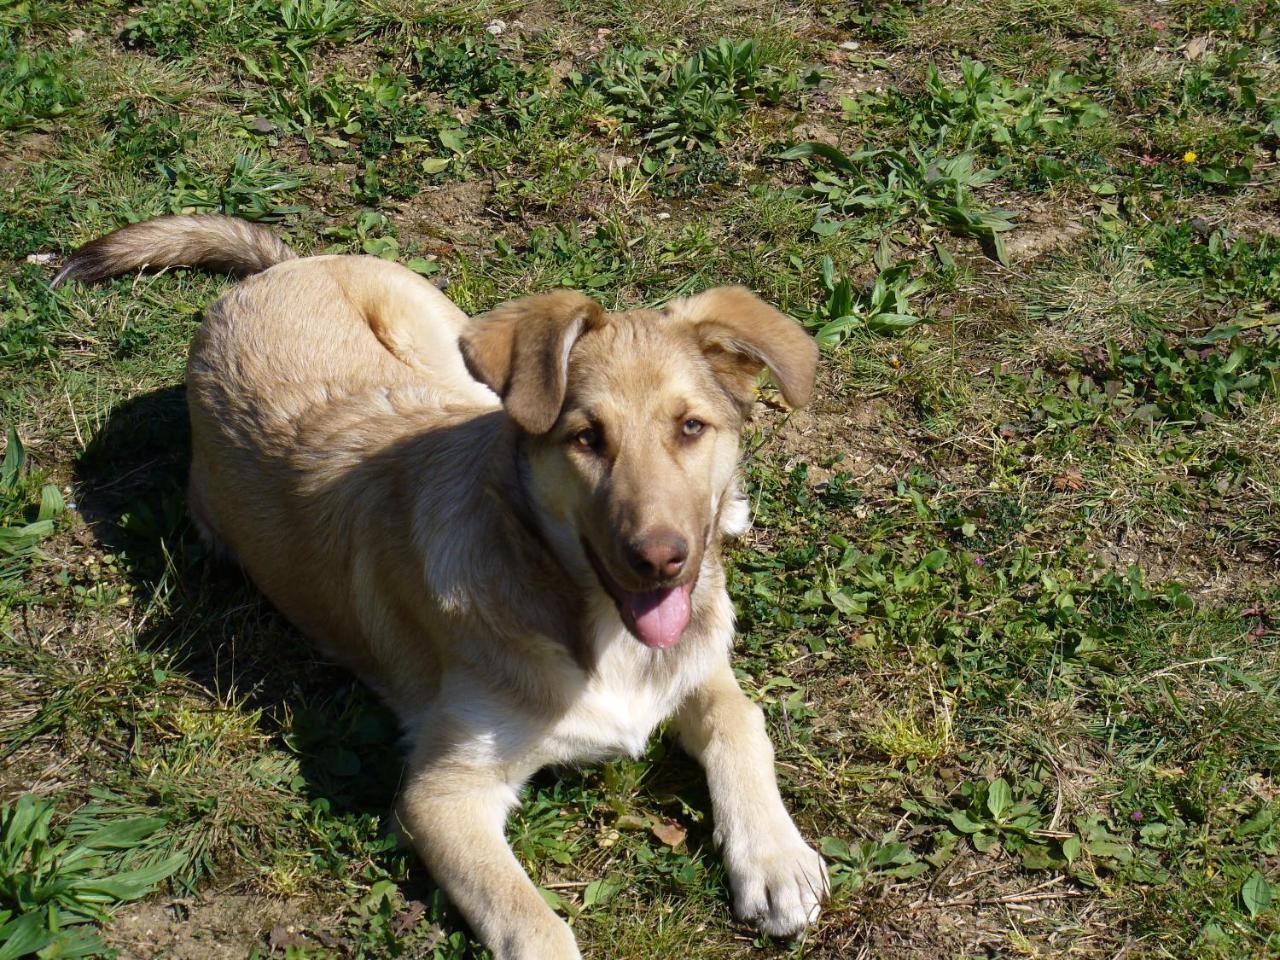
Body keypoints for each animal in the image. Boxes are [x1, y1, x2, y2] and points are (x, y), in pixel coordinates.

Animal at [55, 217, 829, 960]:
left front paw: (775, 860)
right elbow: (535, 927)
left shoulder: (696, 666)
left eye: (691, 426)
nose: (663, 561)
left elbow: (741, 723)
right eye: (586, 438)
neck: (585, 619)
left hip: (451, 356)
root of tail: (283, 268)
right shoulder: (442, 793)